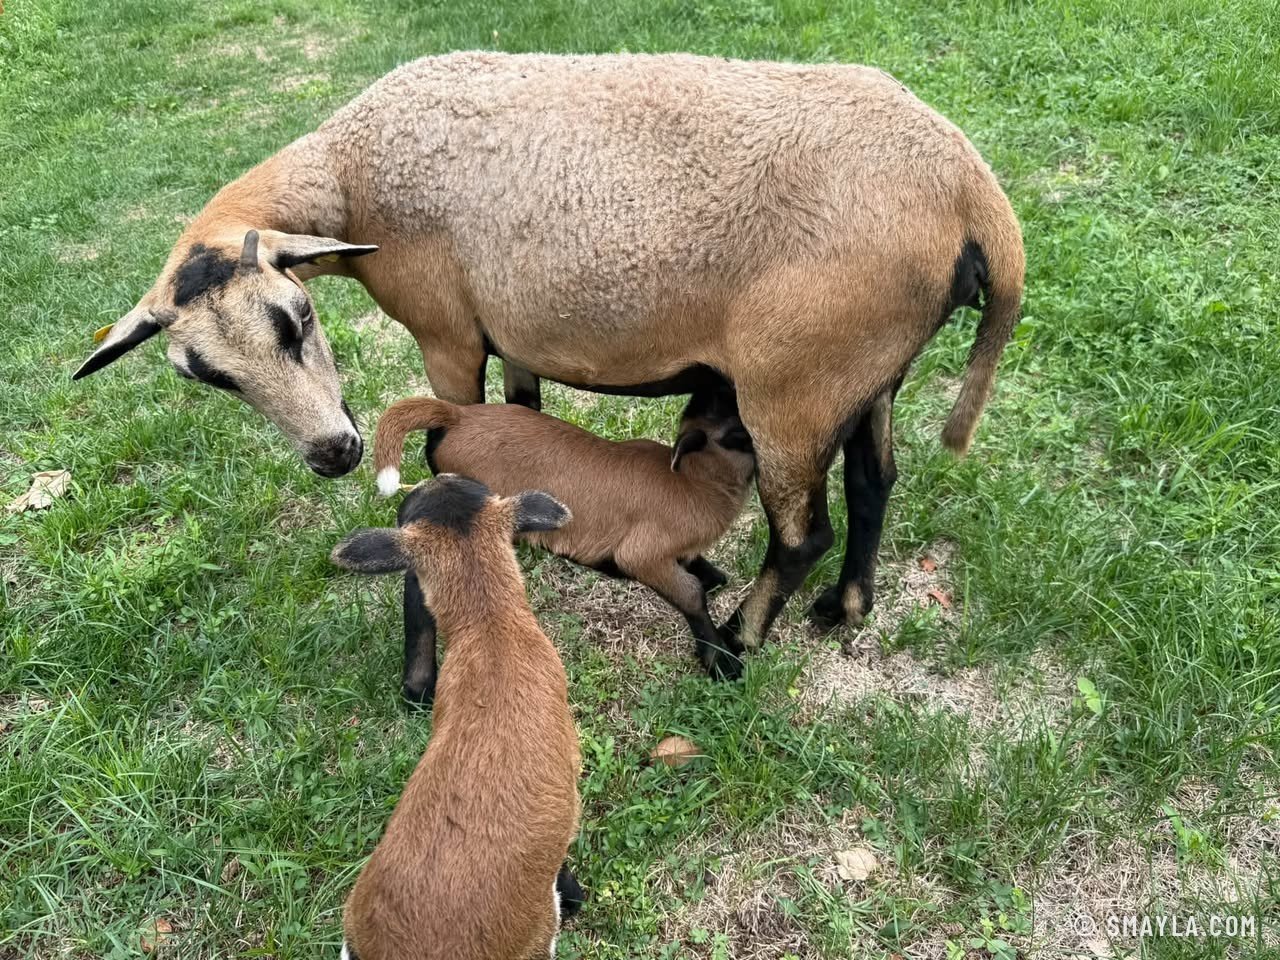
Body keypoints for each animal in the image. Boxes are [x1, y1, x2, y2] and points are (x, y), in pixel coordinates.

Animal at [74, 51, 1025, 657]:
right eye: (207, 376)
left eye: (296, 317)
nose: (334, 453)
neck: (351, 176)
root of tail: (976, 197)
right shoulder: (514, 333)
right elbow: (519, 417)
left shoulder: (449, 332)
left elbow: (446, 438)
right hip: (868, 371)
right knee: (874, 484)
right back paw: (845, 610)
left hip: (794, 382)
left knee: (803, 533)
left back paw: (739, 642)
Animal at [375, 384, 756, 701]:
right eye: (738, 435)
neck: (696, 484)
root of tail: (458, 415)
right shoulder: (641, 553)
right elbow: (691, 593)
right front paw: (722, 663)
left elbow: (699, 571)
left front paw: (713, 577)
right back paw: (419, 688)